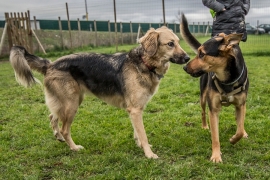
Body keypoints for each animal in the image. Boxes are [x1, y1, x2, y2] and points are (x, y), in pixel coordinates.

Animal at [8, 25, 190, 159]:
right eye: (170, 44)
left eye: (178, 42)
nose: (188, 58)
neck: (144, 63)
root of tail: (50, 64)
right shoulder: (135, 110)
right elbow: (143, 134)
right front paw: (149, 154)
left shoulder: (135, 110)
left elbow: (137, 133)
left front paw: (141, 146)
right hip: (71, 105)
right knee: (65, 128)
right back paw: (74, 147)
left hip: (68, 102)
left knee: (52, 116)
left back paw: (58, 137)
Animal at [181, 14, 249, 162]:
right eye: (198, 53)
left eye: (202, 54)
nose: (184, 67)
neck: (226, 80)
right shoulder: (213, 109)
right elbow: (215, 137)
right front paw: (216, 156)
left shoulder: (240, 104)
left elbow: (240, 129)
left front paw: (234, 139)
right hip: (203, 97)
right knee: (202, 112)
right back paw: (205, 126)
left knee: (241, 123)